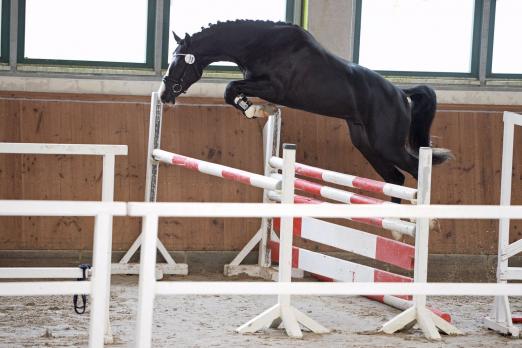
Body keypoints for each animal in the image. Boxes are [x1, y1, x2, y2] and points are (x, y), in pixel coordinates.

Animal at [159, 19, 450, 204]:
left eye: (179, 63)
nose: (164, 95)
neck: (259, 44)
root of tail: (401, 93)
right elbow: (232, 91)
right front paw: (257, 109)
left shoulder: (275, 88)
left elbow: (231, 88)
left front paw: (254, 110)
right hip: (366, 143)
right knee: (395, 177)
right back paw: (394, 229)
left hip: (386, 144)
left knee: (414, 169)